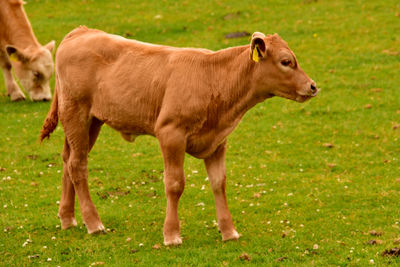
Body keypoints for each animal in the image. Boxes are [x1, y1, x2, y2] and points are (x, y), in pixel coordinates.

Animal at [39, 26, 318, 246]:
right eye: (285, 61)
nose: (313, 86)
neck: (213, 77)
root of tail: (81, 31)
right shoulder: (170, 133)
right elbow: (174, 184)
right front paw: (172, 235)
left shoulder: (218, 141)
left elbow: (219, 183)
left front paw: (229, 231)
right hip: (76, 113)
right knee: (78, 165)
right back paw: (93, 223)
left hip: (91, 121)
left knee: (68, 160)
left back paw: (68, 218)